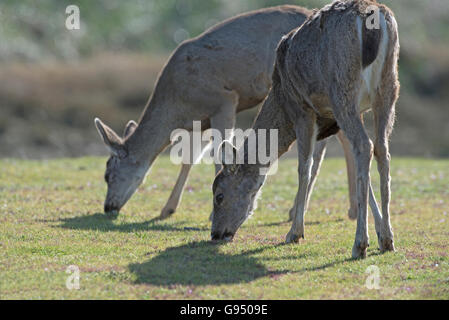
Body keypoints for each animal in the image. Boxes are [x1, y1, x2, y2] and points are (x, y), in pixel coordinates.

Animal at [94, 3, 374, 222]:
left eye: (107, 174)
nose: (108, 207)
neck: (177, 105)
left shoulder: (224, 100)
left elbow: (220, 155)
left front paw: (210, 211)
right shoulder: (200, 120)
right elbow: (190, 158)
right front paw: (167, 209)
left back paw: (318, 210)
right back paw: (340, 209)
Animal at [210, 0, 400, 258]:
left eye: (219, 195)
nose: (215, 233)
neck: (279, 94)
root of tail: (374, 18)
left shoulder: (302, 109)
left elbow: (304, 167)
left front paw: (294, 233)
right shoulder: (336, 117)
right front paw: (380, 233)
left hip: (343, 90)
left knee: (364, 145)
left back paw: (359, 244)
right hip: (388, 88)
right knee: (381, 148)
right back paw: (388, 239)